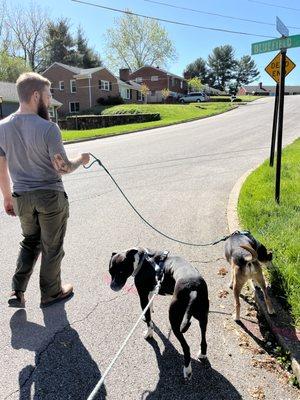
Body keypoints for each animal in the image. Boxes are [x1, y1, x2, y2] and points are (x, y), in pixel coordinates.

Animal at [109, 247, 210, 382]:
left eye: (121, 271)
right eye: (110, 272)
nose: (112, 286)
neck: (142, 261)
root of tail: (193, 287)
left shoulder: (142, 296)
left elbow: (148, 319)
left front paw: (149, 333)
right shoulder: (151, 290)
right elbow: (149, 308)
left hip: (174, 320)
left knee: (186, 347)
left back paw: (187, 371)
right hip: (203, 317)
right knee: (204, 339)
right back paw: (202, 354)